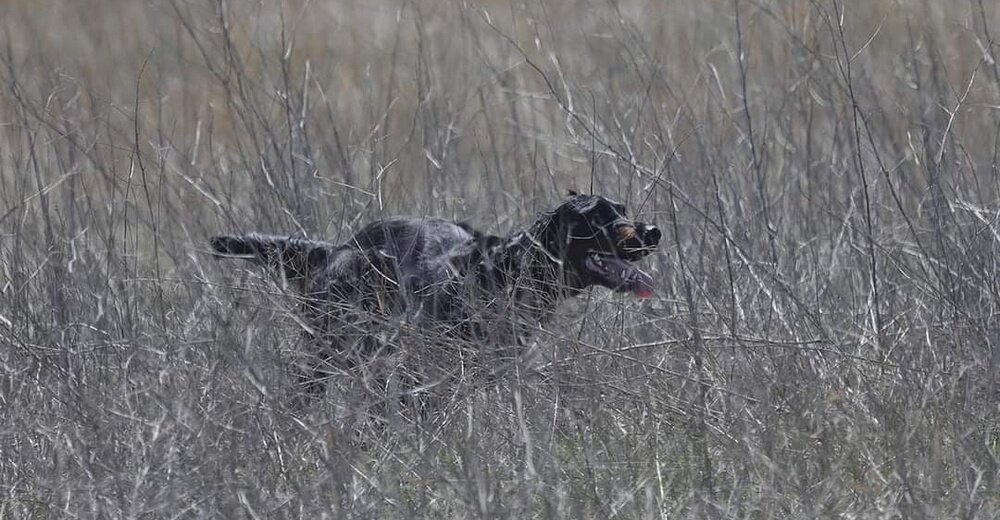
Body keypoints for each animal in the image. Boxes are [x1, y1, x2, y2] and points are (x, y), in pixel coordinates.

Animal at [210, 193, 660, 400]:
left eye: (623, 209)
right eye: (599, 218)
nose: (653, 231)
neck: (502, 275)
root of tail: (338, 248)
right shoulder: (410, 373)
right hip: (323, 351)